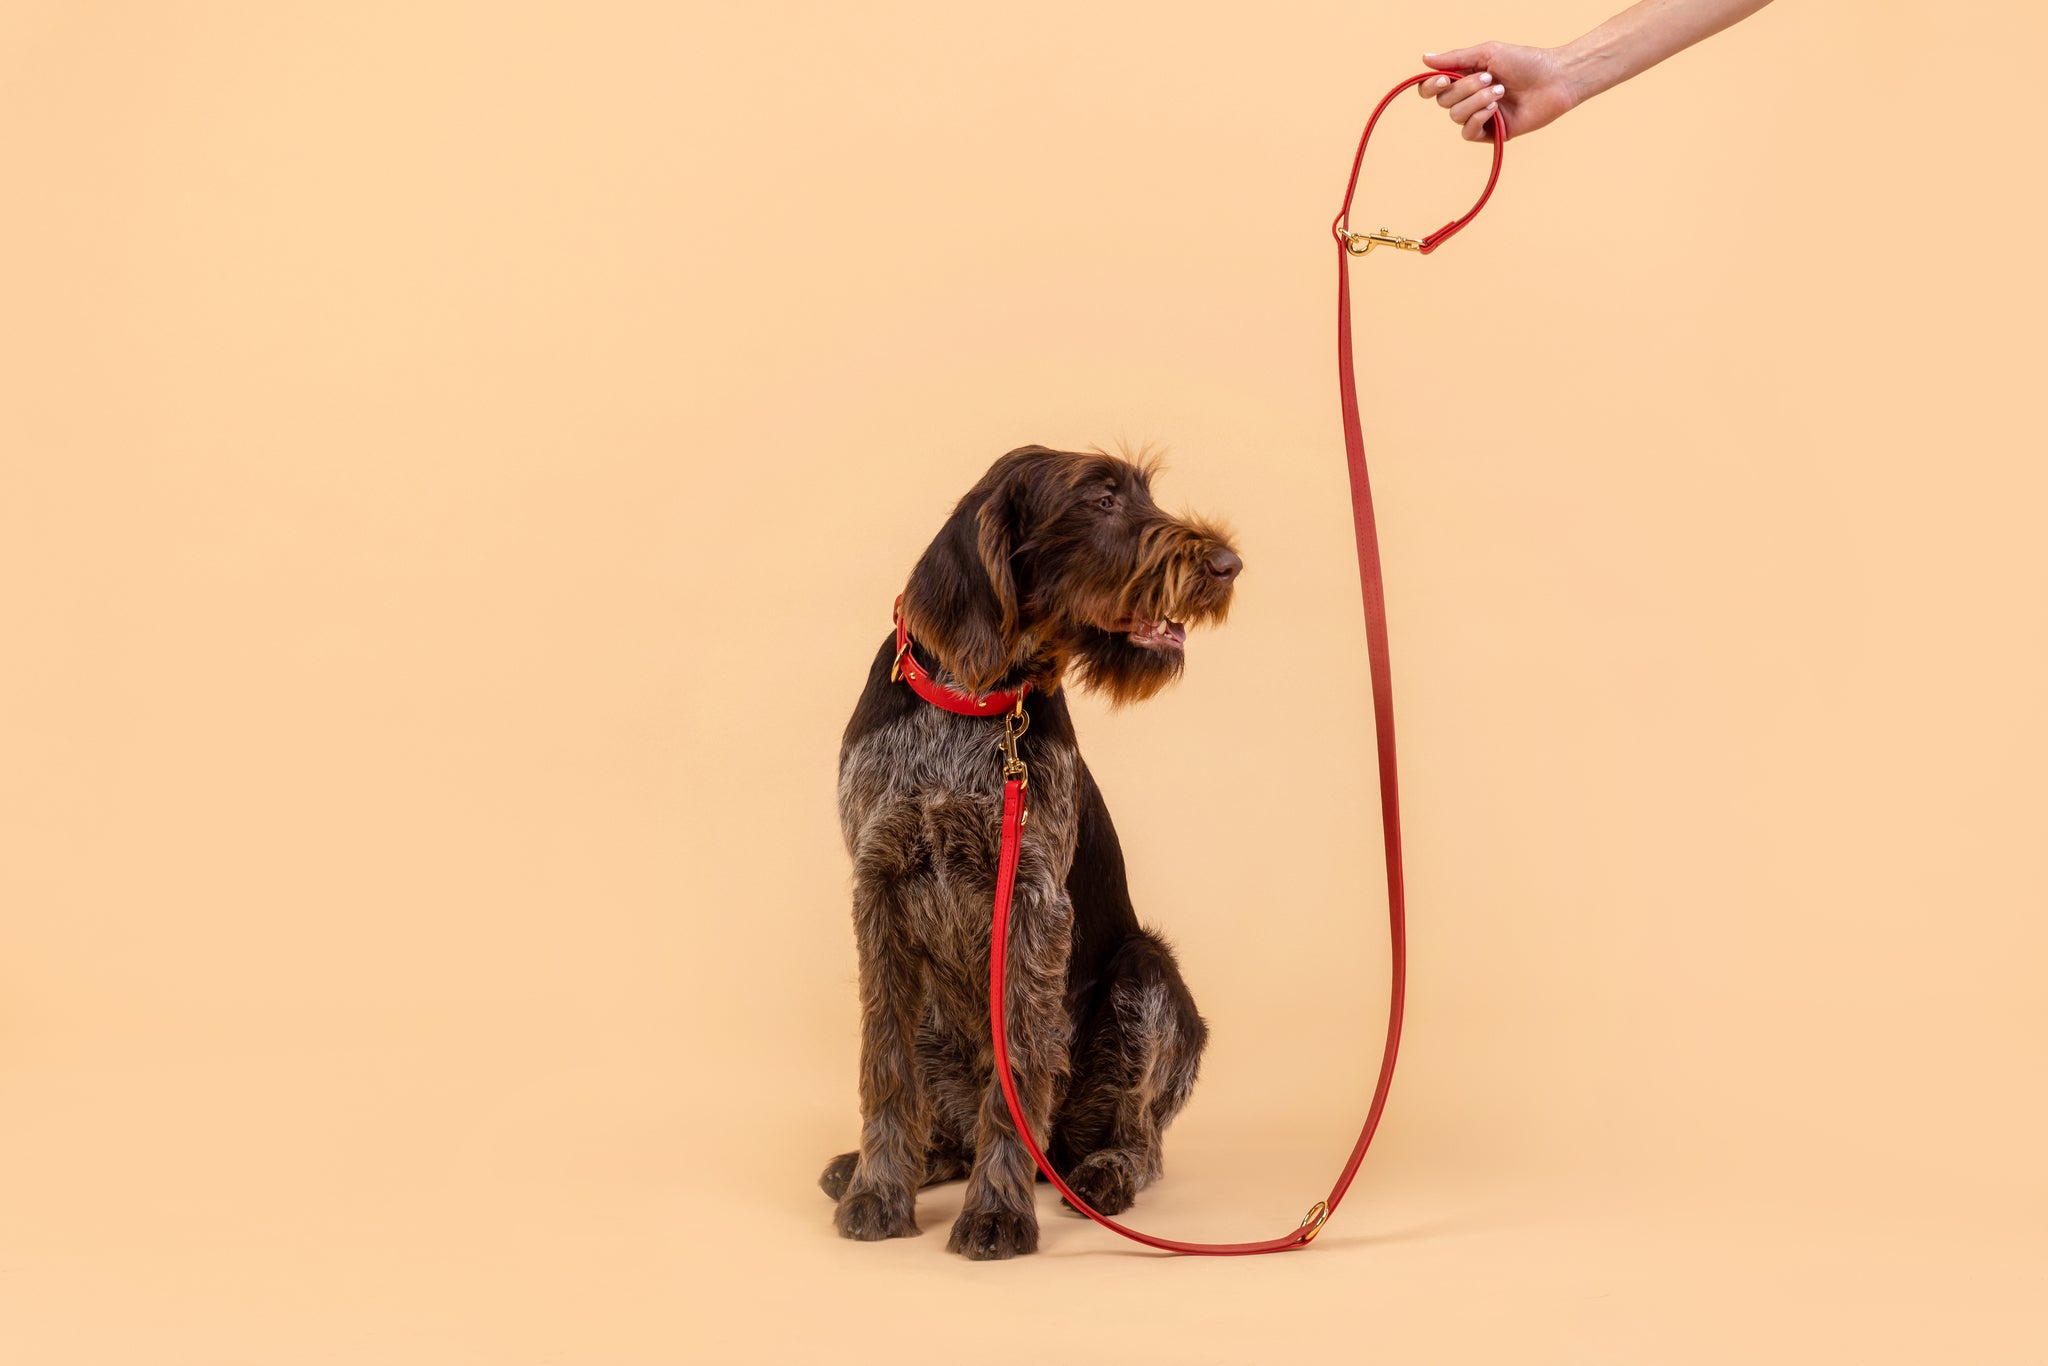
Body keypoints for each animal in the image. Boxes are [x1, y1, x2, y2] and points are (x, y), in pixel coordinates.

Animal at [819, 446, 1236, 1261]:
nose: (1227, 563)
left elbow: (1017, 1070)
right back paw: (916, 1160)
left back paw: (1104, 1171)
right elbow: (885, 1065)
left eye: (1142, 493)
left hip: (1146, 974)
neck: (973, 697)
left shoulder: (1034, 901)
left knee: (1136, 1133)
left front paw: (997, 1211)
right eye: (1102, 498)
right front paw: (879, 1190)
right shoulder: (876, 888)